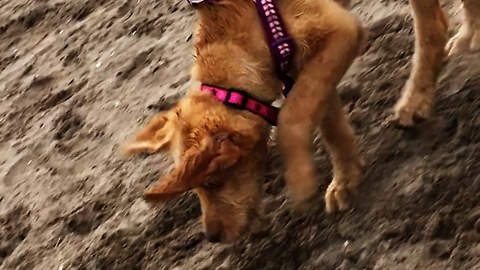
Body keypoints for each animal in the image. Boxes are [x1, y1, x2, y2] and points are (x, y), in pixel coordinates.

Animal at [123, 0, 480, 244]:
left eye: (213, 180)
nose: (212, 236)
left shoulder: (341, 30)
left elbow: (291, 118)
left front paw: (301, 179)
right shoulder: (303, 63)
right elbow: (328, 123)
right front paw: (346, 180)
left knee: (433, 25)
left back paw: (418, 98)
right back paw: (468, 38)